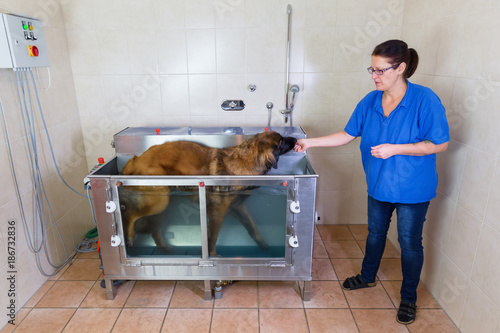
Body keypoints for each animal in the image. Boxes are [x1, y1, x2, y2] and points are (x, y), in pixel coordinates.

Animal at [118, 130, 296, 254]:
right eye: (281, 141)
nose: (295, 139)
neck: (248, 160)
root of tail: (136, 159)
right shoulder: (218, 211)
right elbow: (212, 237)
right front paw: (213, 255)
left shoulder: (238, 206)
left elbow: (252, 226)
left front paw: (262, 243)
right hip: (160, 200)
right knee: (129, 214)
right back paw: (129, 237)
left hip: (165, 206)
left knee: (155, 230)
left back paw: (165, 248)